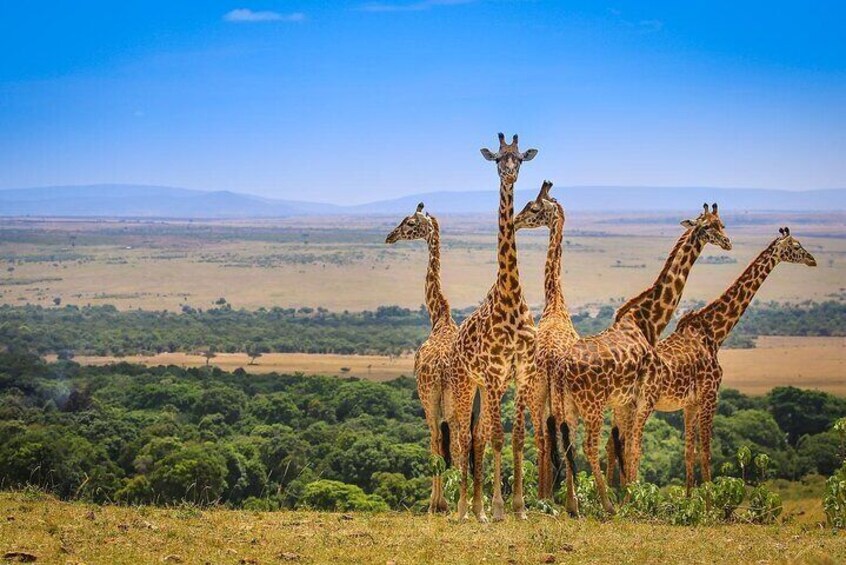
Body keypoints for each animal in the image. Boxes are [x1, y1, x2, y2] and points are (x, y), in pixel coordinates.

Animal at [386, 202, 464, 512]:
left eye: (409, 223)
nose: (390, 236)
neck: (439, 316)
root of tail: (442, 368)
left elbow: (436, 443)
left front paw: (437, 502)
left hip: (431, 398)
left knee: (439, 439)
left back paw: (441, 502)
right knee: (462, 439)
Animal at [552, 205, 732, 512]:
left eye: (722, 223)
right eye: (708, 227)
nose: (727, 242)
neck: (647, 321)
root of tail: (563, 368)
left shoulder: (627, 402)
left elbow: (626, 446)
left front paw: (630, 495)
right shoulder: (643, 399)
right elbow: (635, 447)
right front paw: (633, 500)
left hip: (568, 406)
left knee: (569, 445)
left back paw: (572, 507)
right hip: (593, 405)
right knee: (589, 446)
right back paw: (607, 505)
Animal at [608, 227, 820, 492]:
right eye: (796, 245)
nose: (812, 259)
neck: (714, 333)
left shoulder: (690, 404)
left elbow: (689, 452)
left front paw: (689, 498)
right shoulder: (711, 395)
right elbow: (706, 453)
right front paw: (709, 500)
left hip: (621, 406)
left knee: (614, 445)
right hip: (641, 405)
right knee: (629, 447)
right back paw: (627, 494)